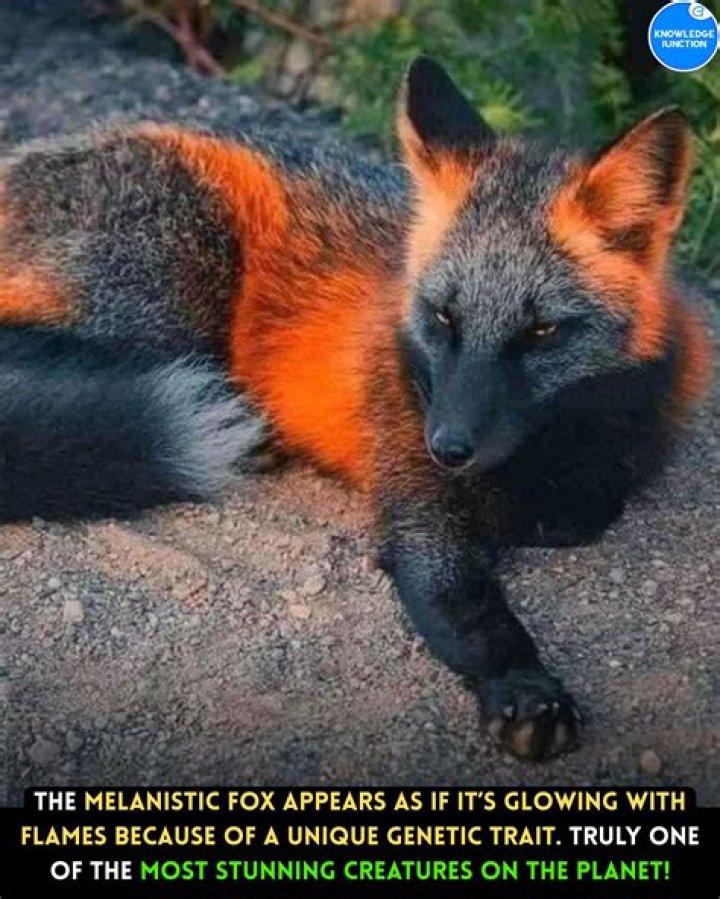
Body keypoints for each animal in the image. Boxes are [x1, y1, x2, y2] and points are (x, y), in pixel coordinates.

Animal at [0, 57, 712, 759]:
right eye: (443, 318)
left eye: (542, 332)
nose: (446, 446)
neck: (544, 451)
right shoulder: (417, 507)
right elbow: (474, 612)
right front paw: (524, 687)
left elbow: (587, 508)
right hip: (172, 291)